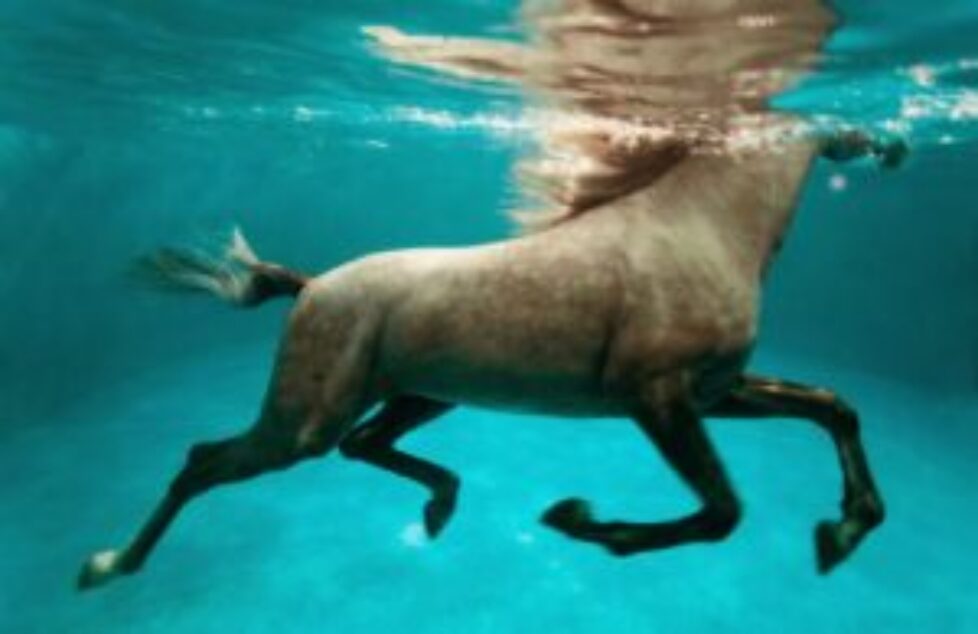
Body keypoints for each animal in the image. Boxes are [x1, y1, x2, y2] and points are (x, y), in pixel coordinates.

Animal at [78, 0, 902, 590]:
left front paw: (843, 531)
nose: (892, 144)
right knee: (208, 460)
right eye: (837, 118)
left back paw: (441, 504)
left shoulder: (712, 392)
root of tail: (311, 286)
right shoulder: (656, 395)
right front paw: (580, 520)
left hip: (423, 393)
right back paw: (109, 565)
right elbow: (723, 510)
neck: (701, 227)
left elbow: (832, 406)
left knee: (361, 444)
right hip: (304, 420)